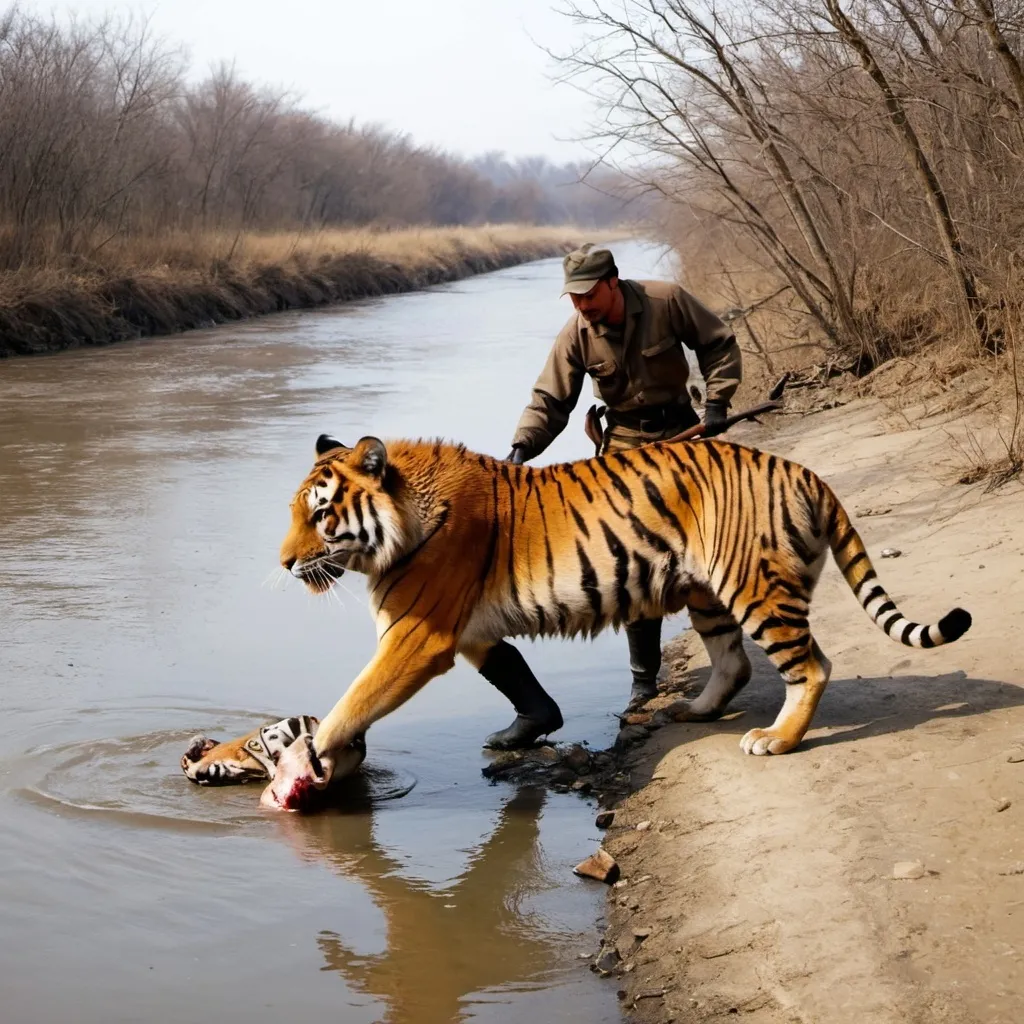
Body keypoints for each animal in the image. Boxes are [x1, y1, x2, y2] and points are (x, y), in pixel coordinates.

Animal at [260, 436, 970, 811]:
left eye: (319, 514)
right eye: (292, 513)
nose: (285, 562)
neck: (398, 522)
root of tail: (804, 469)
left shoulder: (417, 634)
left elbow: (355, 698)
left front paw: (312, 756)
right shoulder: (468, 629)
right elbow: (515, 678)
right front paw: (526, 729)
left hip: (754, 586)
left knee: (810, 666)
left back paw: (776, 739)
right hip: (707, 591)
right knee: (734, 661)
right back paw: (695, 711)